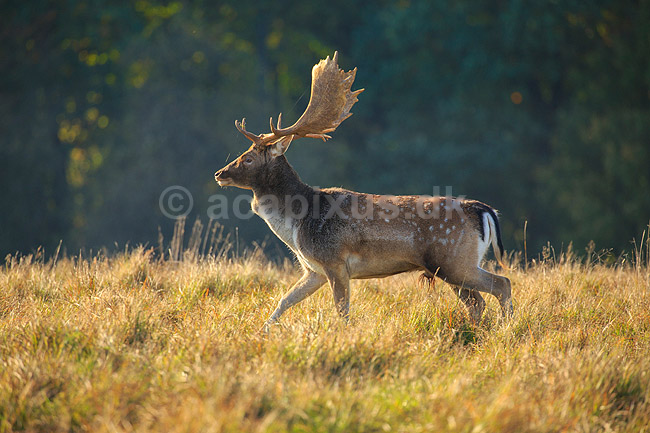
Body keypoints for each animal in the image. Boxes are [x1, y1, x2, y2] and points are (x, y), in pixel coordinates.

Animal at [214, 52, 513, 329]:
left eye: (248, 158)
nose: (219, 174)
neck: (296, 226)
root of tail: (482, 210)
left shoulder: (334, 262)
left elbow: (342, 310)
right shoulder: (313, 269)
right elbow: (284, 300)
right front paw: (262, 331)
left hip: (454, 259)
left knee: (502, 284)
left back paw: (507, 326)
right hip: (452, 265)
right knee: (477, 302)